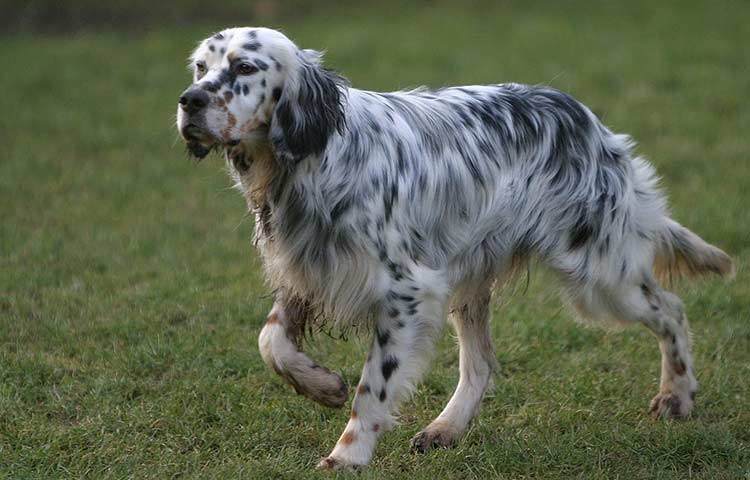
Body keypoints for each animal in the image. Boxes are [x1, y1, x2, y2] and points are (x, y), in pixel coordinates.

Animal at [178, 27, 736, 468]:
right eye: (201, 67)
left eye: (244, 67)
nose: (189, 101)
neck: (311, 160)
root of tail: (592, 124)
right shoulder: (306, 270)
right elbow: (271, 341)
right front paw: (321, 385)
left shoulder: (407, 291)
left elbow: (373, 387)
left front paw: (348, 454)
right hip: (473, 279)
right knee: (481, 363)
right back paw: (445, 428)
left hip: (598, 274)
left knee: (671, 308)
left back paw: (677, 394)